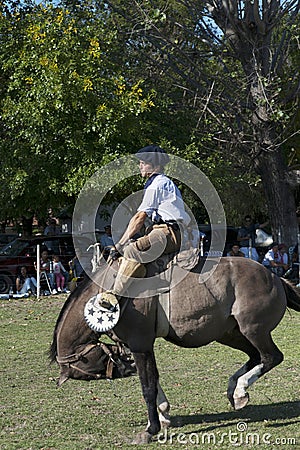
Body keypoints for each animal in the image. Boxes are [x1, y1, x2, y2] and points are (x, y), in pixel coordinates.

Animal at [49, 256, 300, 442]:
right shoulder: (141, 348)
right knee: (256, 356)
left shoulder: (140, 345)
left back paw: (239, 389)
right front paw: (162, 415)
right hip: (230, 334)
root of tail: (274, 277)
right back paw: (235, 389)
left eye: (89, 370)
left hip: (253, 330)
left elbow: (148, 387)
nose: (124, 368)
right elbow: (154, 378)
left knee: (271, 357)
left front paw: (150, 430)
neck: (110, 291)